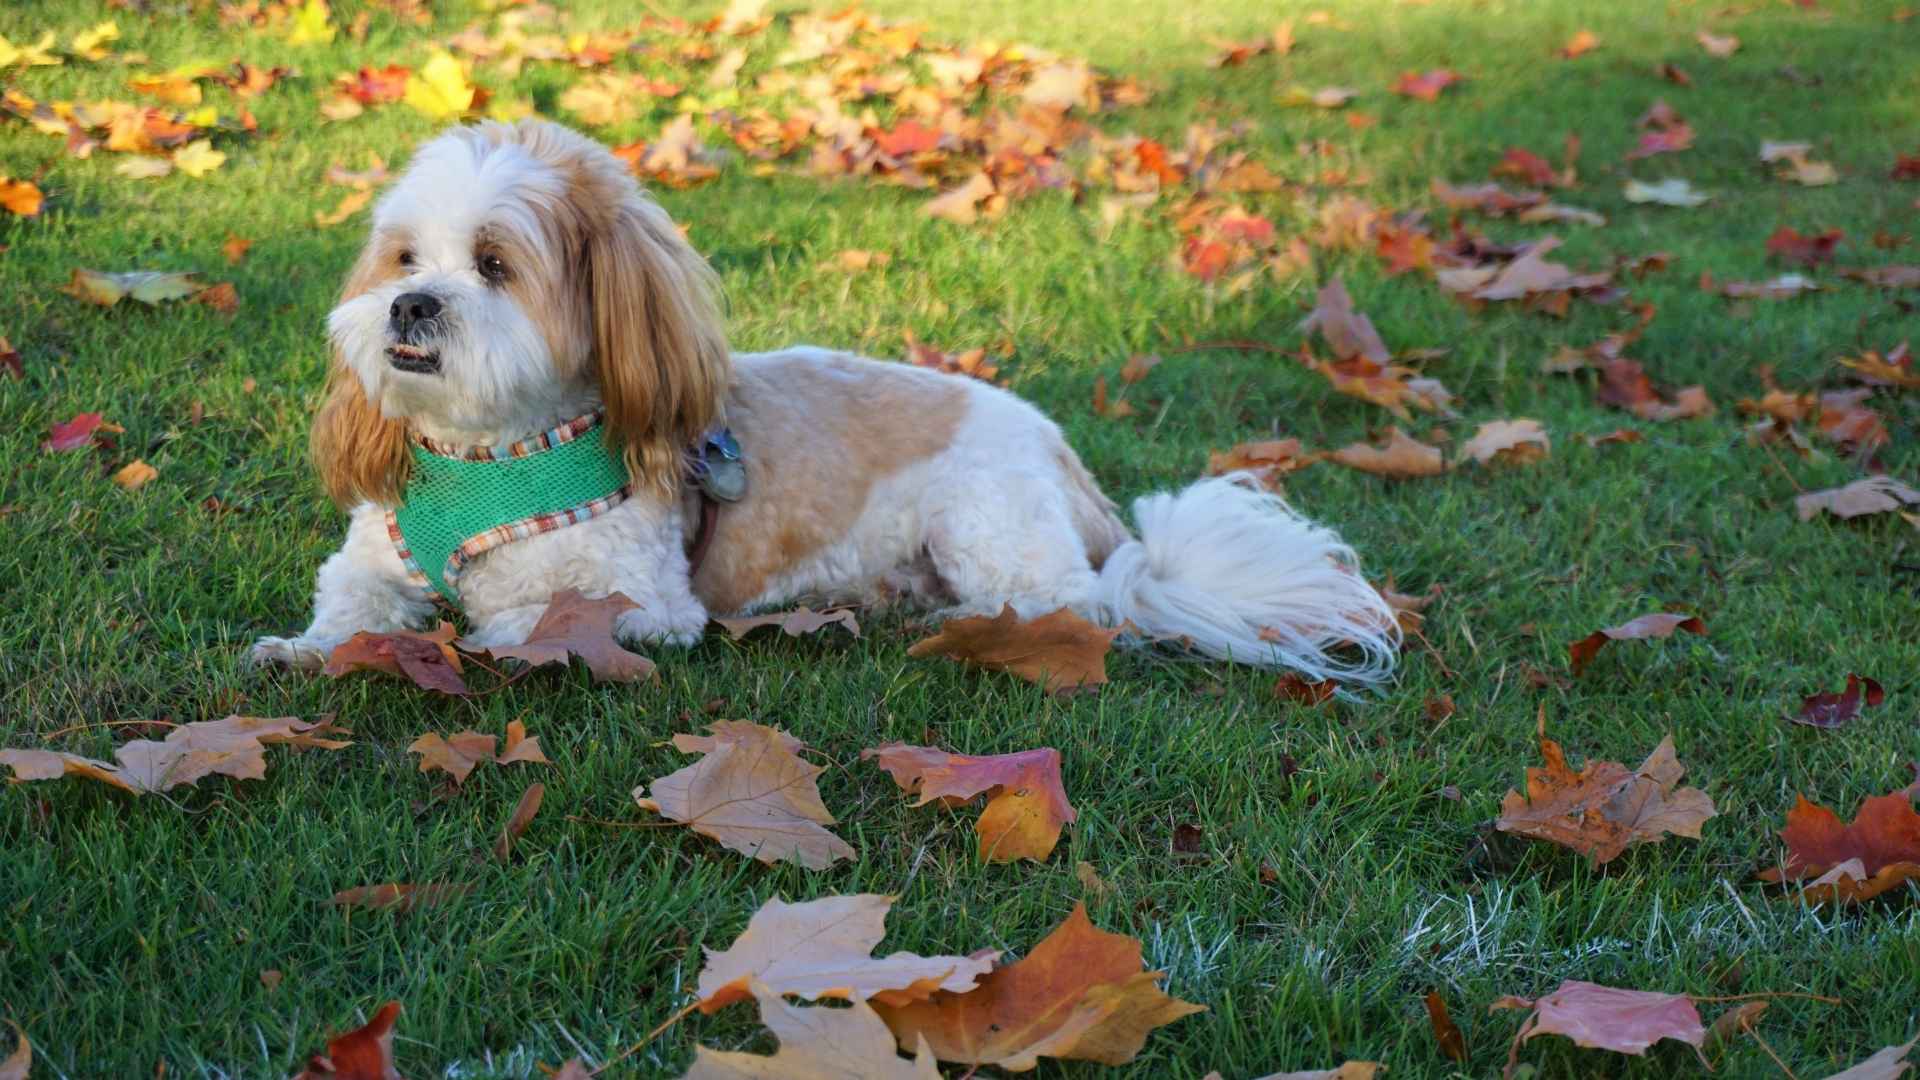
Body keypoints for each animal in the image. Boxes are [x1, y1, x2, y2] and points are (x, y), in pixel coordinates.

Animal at [251, 119, 1397, 680]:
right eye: (403, 257)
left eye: (493, 265)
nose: (410, 304)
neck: (489, 455)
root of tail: (1059, 451)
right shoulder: (371, 555)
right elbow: (348, 608)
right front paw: (304, 651)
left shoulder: (649, 603)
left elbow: (534, 620)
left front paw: (477, 638)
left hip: (989, 528)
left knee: (1070, 606)